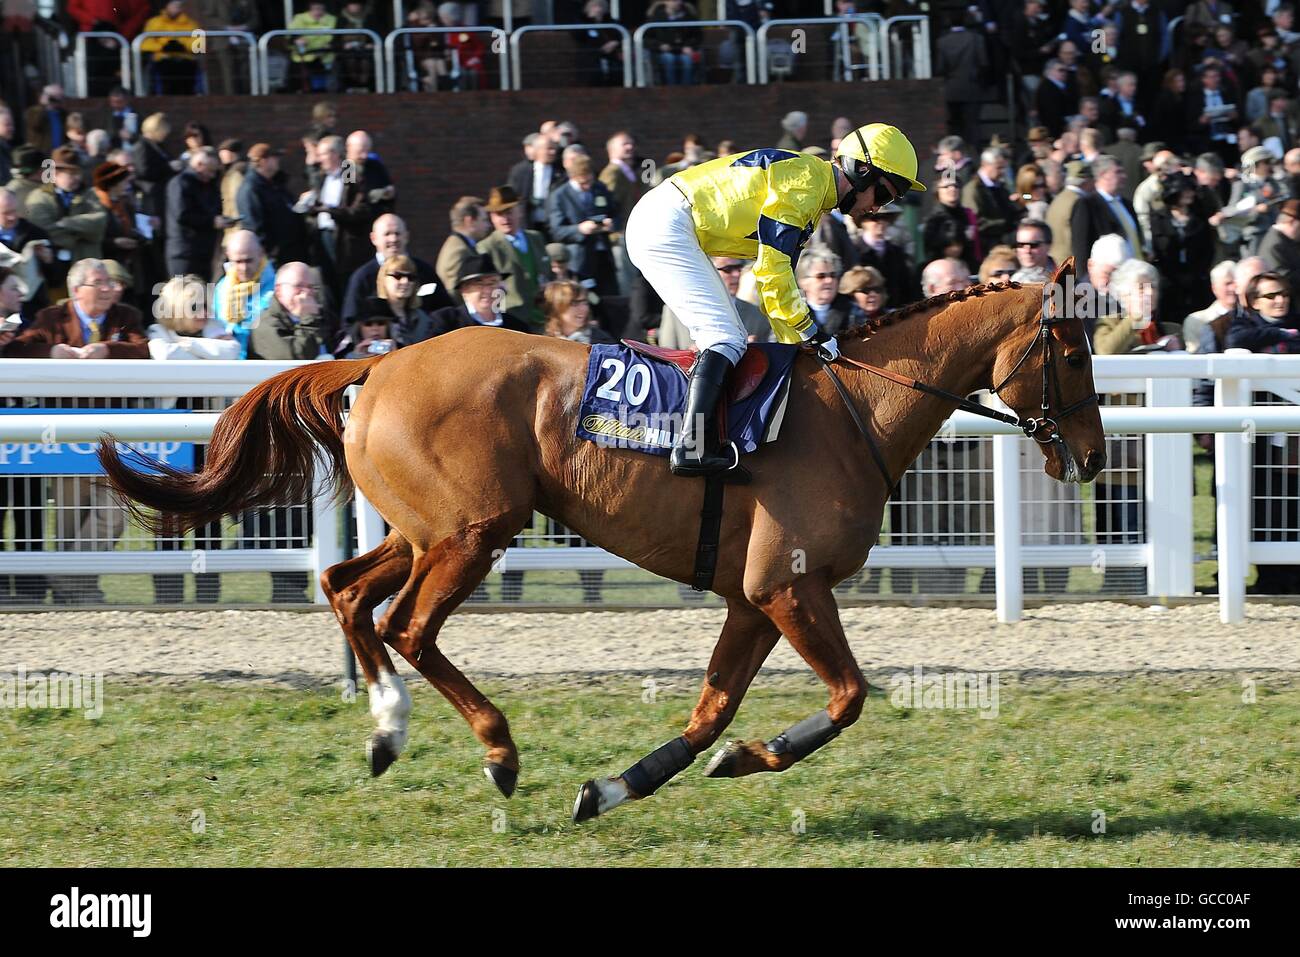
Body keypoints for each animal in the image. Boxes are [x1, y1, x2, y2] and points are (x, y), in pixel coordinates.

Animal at [96, 261, 1102, 821]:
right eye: (1073, 352)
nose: (1092, 456)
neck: (856, 405)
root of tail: (377, 363)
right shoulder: (789, 585)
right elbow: (849, 696)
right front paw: (751, 757)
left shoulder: (753, 598)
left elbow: (709, 713)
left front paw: (620, 785)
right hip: (469, 535)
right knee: (407, 626)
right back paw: (496, 750)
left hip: (434, 529)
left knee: (347, 587)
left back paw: (386, 727)